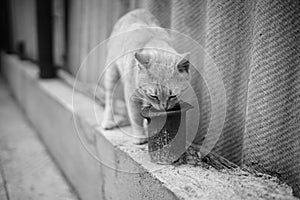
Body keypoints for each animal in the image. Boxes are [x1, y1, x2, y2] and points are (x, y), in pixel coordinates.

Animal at [101, 9, 190, 144]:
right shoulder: (132, 96)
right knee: (109, 99)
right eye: (154, 96)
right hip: (112, 73)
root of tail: (135, 10)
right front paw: (139, 136)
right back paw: (108, 121)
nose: (163, 107)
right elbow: (136, 117)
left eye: (173, 96)